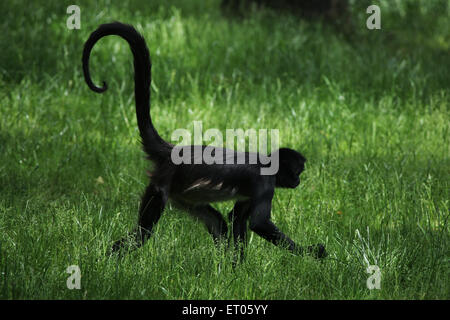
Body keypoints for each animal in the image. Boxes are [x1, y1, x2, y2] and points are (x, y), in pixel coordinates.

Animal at [82, 22, 326, 262]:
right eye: (298, 171)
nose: (298, 181)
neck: (266, 163)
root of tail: (172, 151)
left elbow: (236, 218)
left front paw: (238, 268)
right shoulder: (264, 183)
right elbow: (259, 224)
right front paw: (312, 252)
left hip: (182, 196)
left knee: (218, 223)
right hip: (160, 187)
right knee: (143, 233)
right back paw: (109, 258)